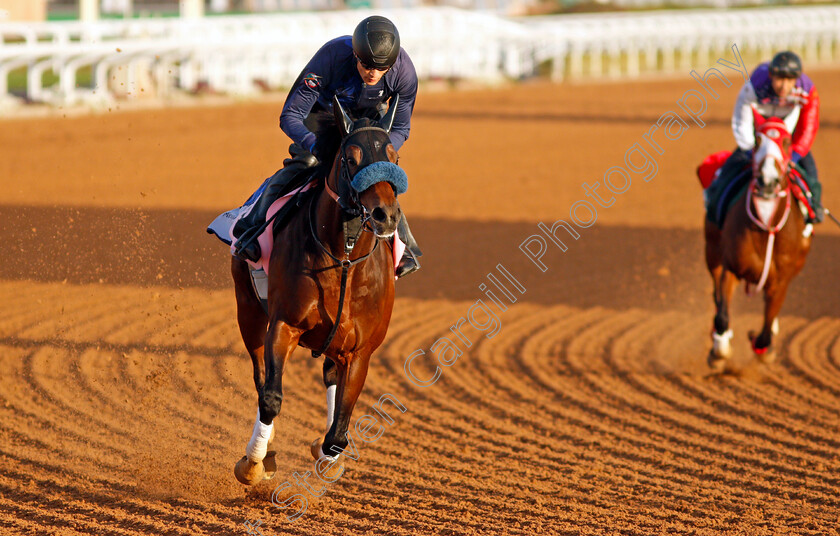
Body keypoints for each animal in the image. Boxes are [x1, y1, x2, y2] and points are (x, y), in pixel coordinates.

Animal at [231, 96, 406, 486]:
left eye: (394, 156)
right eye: (350, 158)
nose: (385, 215)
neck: (343, 260)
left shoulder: (360, 350)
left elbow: (338, 432)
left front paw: (328, 459)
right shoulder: (283, 325)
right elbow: (271, 397)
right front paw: (254, 463)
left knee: (329, 378)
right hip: (247, 310)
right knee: (261, 379)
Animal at [704, 118, 812, 370]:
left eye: (786, 141)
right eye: (756, 141)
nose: (767, 180)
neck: (765, 225)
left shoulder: (780, 282)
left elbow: (765, 330)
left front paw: (760, 343)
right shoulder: (731, 267)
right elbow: (722, 314)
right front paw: (719, 351)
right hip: (712, 251)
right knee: (716, 297)